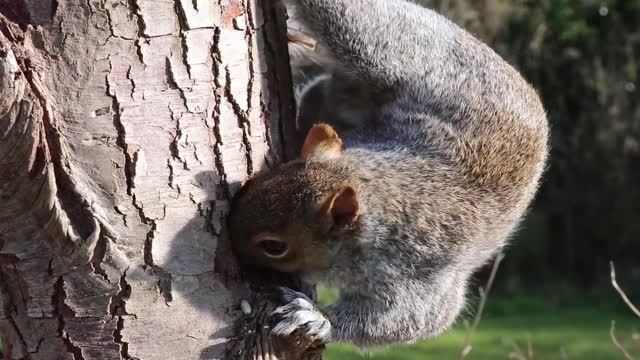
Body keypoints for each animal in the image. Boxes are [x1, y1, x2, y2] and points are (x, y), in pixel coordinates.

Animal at [228, 0, 548, 348]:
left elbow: (409, 319)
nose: (228, 243)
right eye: (261, 180)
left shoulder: (415, 274)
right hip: (379, 56)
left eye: (274, 246)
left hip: (386, 52)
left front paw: (316, 317)